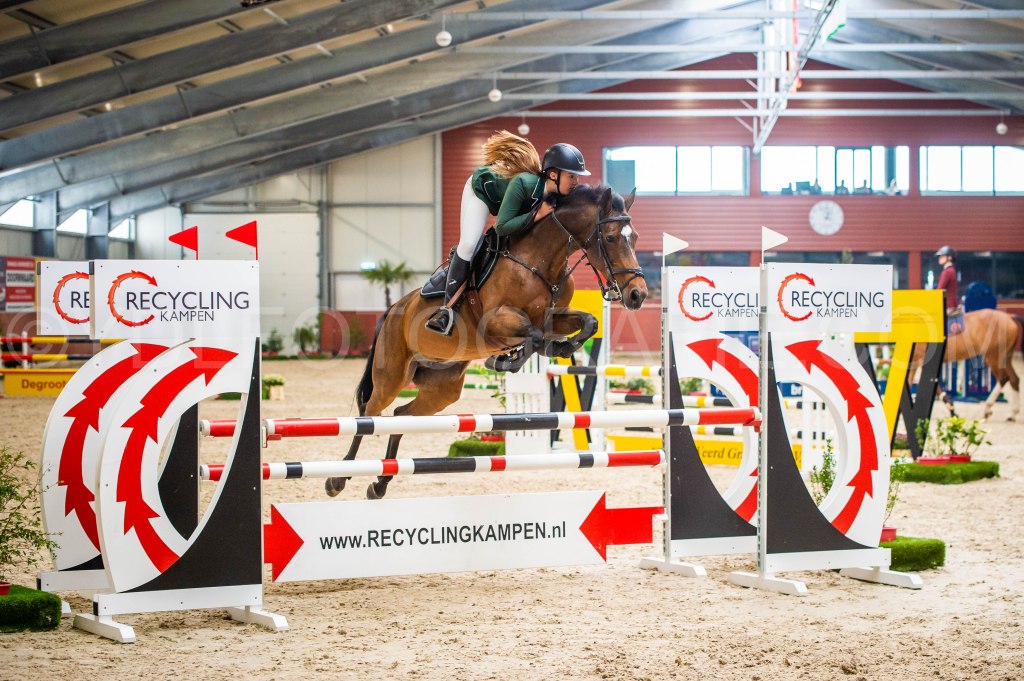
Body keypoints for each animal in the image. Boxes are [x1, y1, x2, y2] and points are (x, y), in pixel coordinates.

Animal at [326, 184, 649, 500]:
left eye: (634, 238)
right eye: (610, 237)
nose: (637, 295)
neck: (540, 262)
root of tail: (394, 308)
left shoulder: (554, 316)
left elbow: (587, 323)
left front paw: (559, 347)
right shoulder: (494, 322)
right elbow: (534, 334)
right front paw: (508, 358)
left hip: (442, 390)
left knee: (400, 416)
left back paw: (380, 483)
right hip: (391, 377)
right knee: (368, 416)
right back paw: (338, 479)